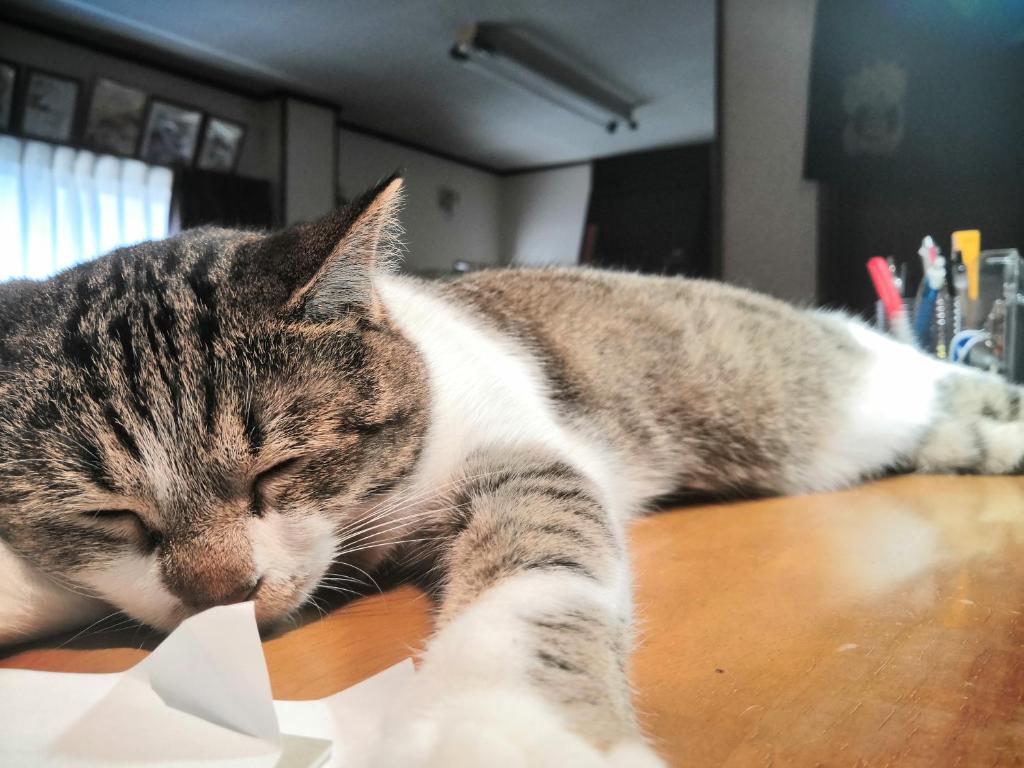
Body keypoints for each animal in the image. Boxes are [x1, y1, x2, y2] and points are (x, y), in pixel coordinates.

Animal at [2, 176, 1024, 768]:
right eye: (110, 515)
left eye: (279, 468)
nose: (222, 592)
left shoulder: (525, 461)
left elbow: (538, 581)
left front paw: (502, 730)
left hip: (819, 401)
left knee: (933, 378)